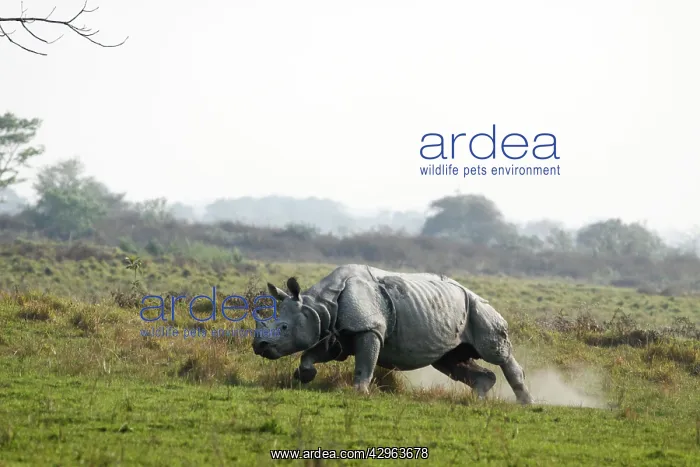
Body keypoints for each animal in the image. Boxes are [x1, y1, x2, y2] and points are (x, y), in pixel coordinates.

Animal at [252, 264, 532, 404]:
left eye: (284, 328)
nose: (259, 346)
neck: (319, 304)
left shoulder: (369, 328)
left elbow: (365, 362)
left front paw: (359, 392)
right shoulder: (334, 333)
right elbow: (312, 353)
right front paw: (304, 376)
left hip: (478, 308)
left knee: (496, 352)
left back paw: (525, 403)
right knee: (450, 360)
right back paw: (479, 399)